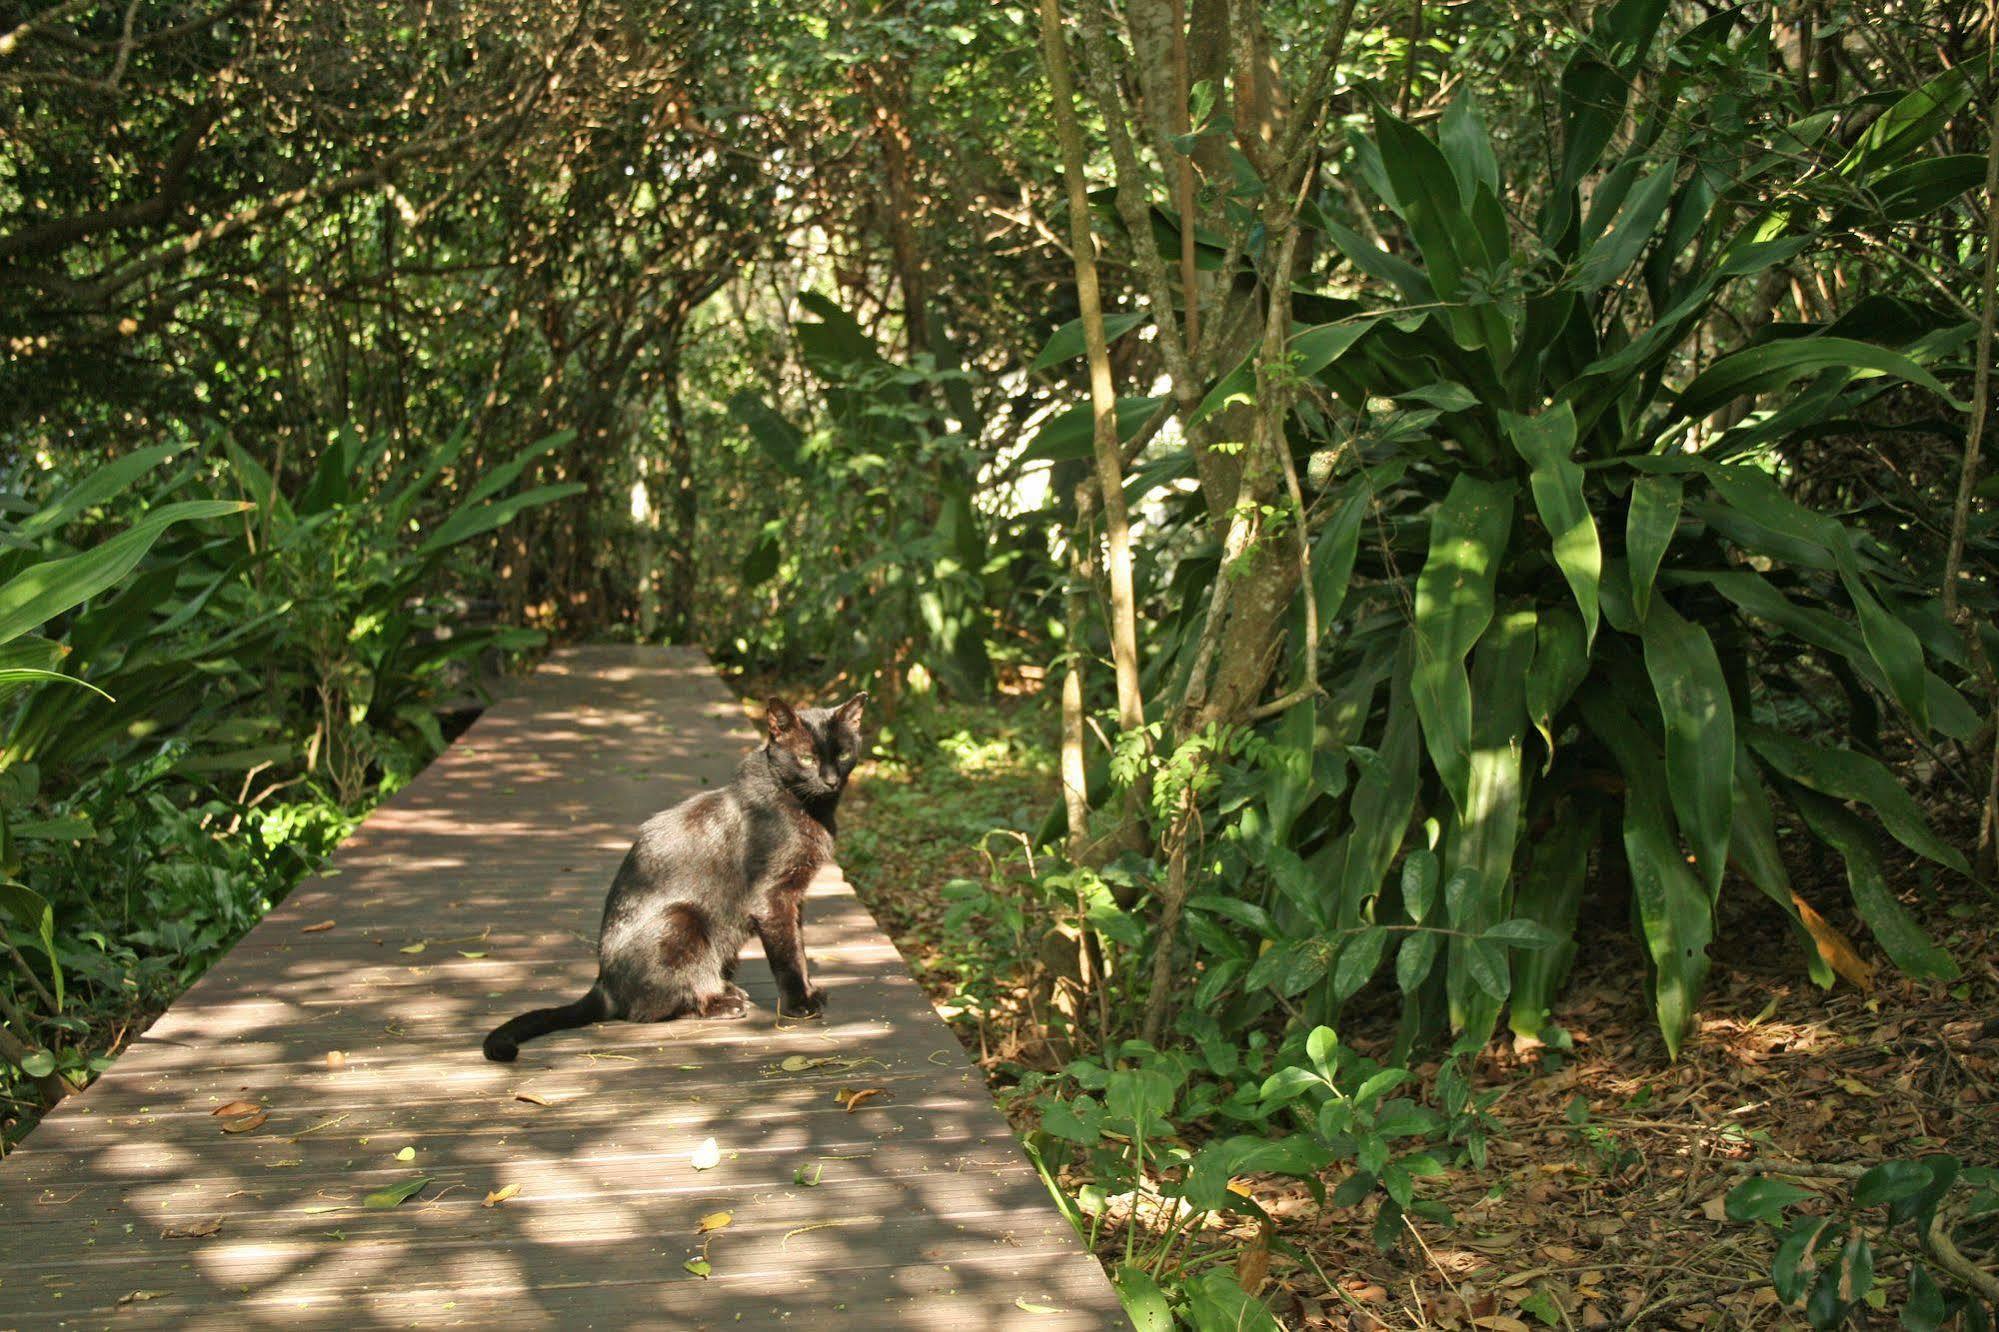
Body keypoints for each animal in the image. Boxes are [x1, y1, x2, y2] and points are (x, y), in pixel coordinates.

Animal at [483, 688, 867, 1064]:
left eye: (844, 753)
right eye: (806, 759)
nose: (831, 780)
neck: (805, 807)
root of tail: (603, 984)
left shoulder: (795, 897)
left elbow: (799, 948)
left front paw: (809, 989)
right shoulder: (772, 898)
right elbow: (787, 955)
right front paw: (799, 1005)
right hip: (682, 922)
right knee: (651, 1008)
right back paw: (724, 1003)